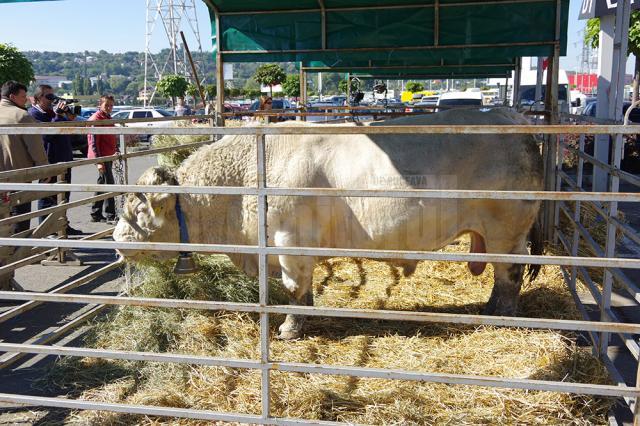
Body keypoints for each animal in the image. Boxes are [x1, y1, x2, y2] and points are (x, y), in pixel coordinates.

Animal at [114, 109, 540, 340]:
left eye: (138, 210)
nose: (116, 239)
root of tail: (508, 115)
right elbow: (302, 290)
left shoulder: (290, 240)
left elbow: (293, 287)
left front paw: (290, 328)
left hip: (506, 229)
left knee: (510, 274)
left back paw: (499, 315)